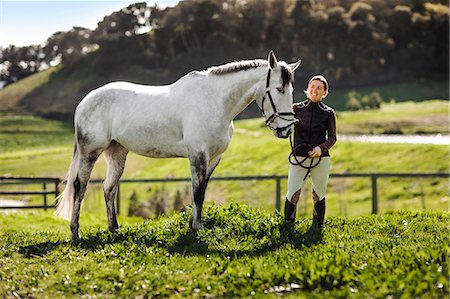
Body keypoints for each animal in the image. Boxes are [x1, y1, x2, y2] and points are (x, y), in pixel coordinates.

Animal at [57, 51, 302, 239]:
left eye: (291, 90)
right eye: (279, 89)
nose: (287, 130)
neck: (214, 101)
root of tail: (85, 101)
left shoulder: (213, 159)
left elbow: (200, 191)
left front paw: (193, 226)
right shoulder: (198, 155)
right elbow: (197, 193)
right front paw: (197, 228)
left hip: (117, 152)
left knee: (109, 188)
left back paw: (114, 229)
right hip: (90, 152)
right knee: (80, 186)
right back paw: (75, 232)